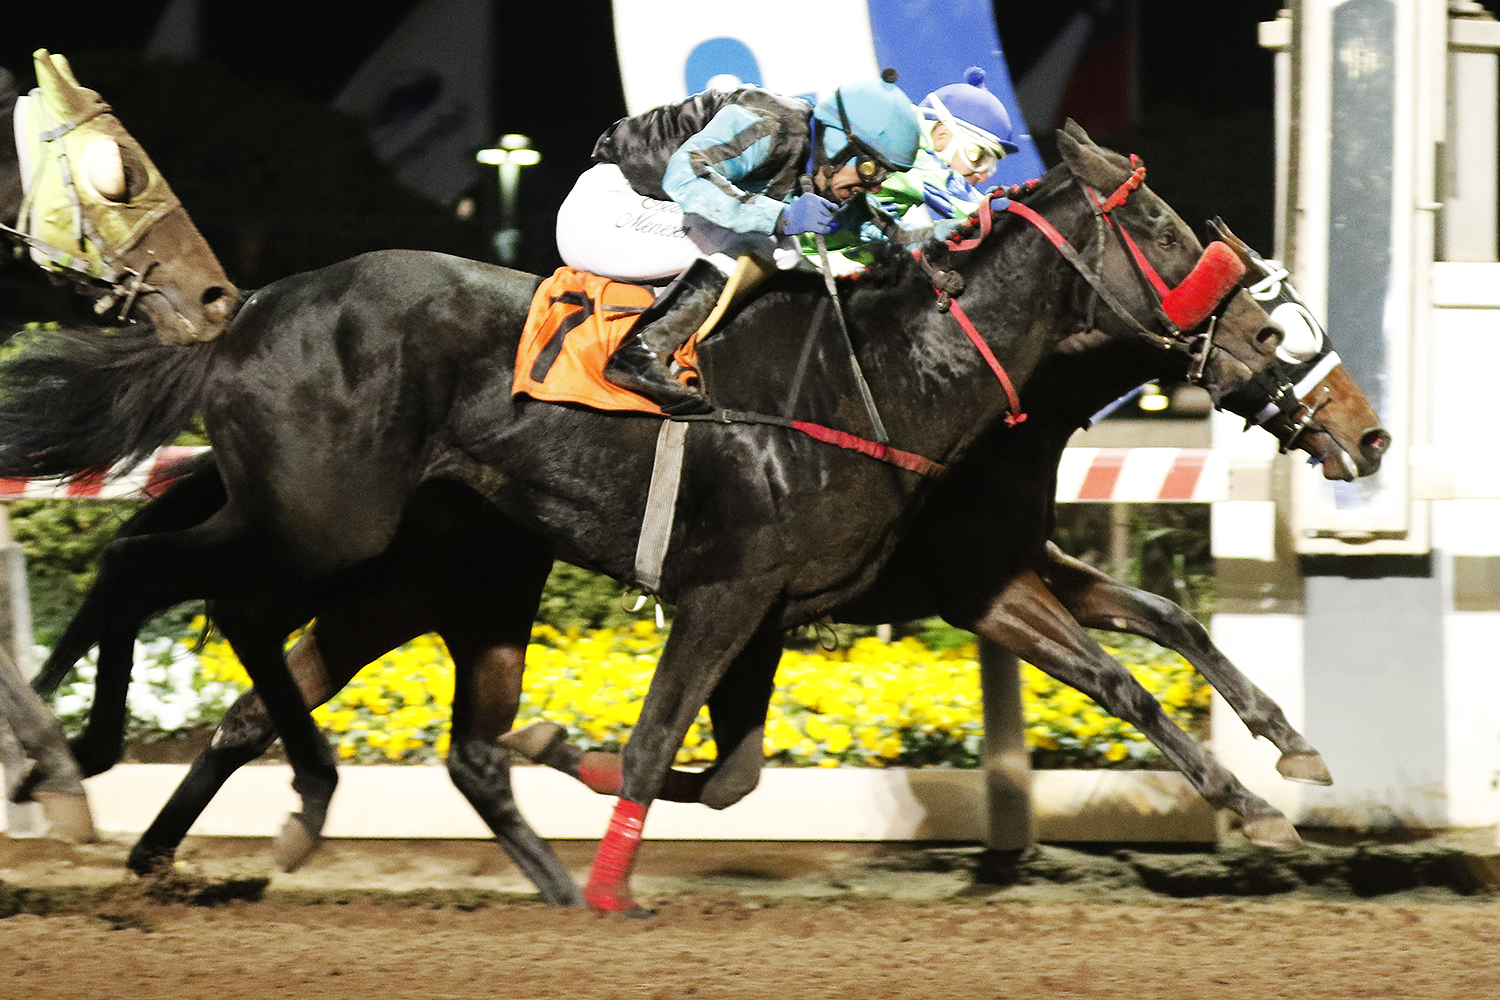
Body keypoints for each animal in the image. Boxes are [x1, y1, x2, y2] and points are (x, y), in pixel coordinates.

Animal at [0, 125, 1382, 912]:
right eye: (1179, 242)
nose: (1362, 431)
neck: (899, 377)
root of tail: (246, 311)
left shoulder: (888, 586)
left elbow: (1148, 646)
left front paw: (1283, 774)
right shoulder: (780, 588)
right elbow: (672, 747)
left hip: (409, 566)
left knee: (275, 678)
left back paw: (173, 824)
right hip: (322, 522)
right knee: (160, 569)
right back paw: (93, 769)